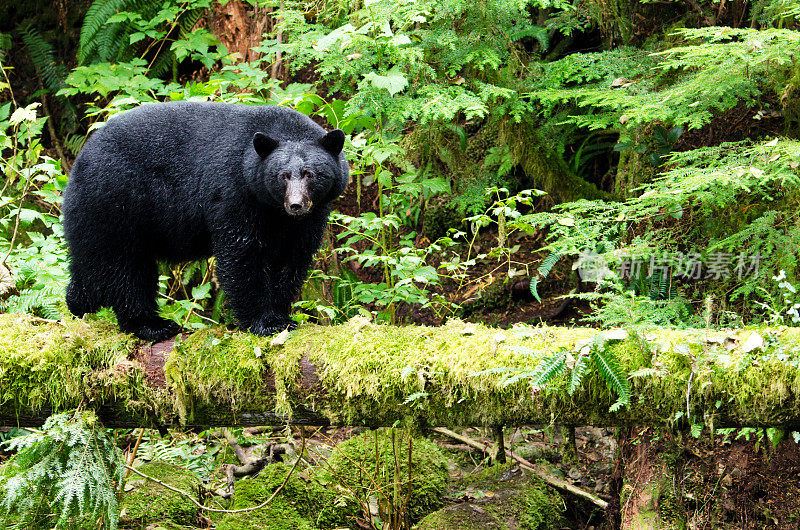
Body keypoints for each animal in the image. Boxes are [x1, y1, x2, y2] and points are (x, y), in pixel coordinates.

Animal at [61, 101, 348, 340]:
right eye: (283, 175)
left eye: (311, 174)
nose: (296, 205)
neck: (274, 211)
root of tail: (80, 160)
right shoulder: (234, 192)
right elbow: (242, 255)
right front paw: (265, 322)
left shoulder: (308, 218)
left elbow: (291, 258)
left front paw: (281, 315)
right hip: (116, 202)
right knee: (126, 270)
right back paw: (151, 325)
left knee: (93, 266)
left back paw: (77, 302)